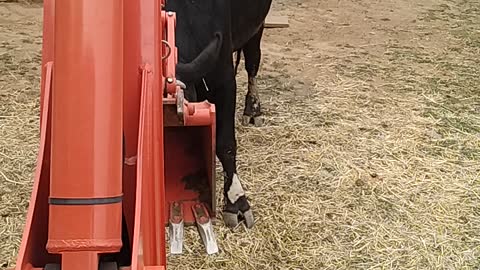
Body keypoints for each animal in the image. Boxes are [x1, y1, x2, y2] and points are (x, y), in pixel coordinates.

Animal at [165, 0, 272, 229]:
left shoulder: (224, 80)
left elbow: (225, 145)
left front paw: (236, 202)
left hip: (257, 28)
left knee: (253, 62)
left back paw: (253, 108)